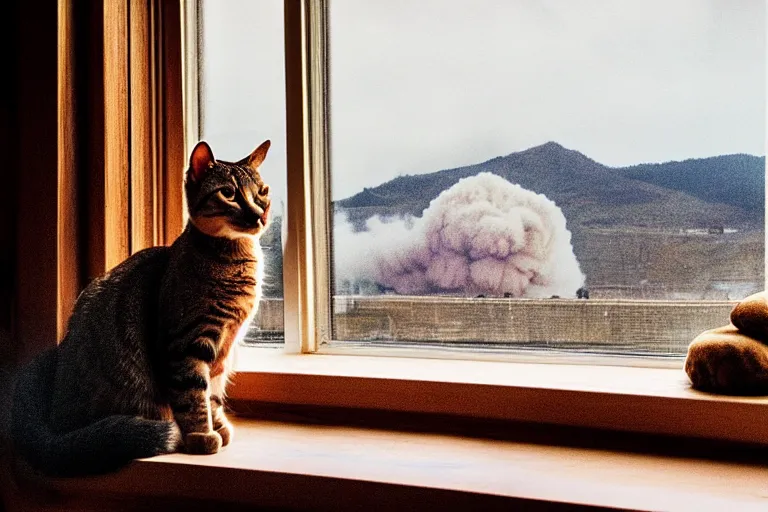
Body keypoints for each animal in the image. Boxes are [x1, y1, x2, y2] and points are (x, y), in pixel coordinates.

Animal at [11, 139, 272, 476]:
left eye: (262, 191)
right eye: (229, 193)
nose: (260, 214)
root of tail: (55, 434)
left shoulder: (223, 350)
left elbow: (212, 393)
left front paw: (217, 426)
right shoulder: (186, 343)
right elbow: (194, 394)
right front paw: (201, 435)